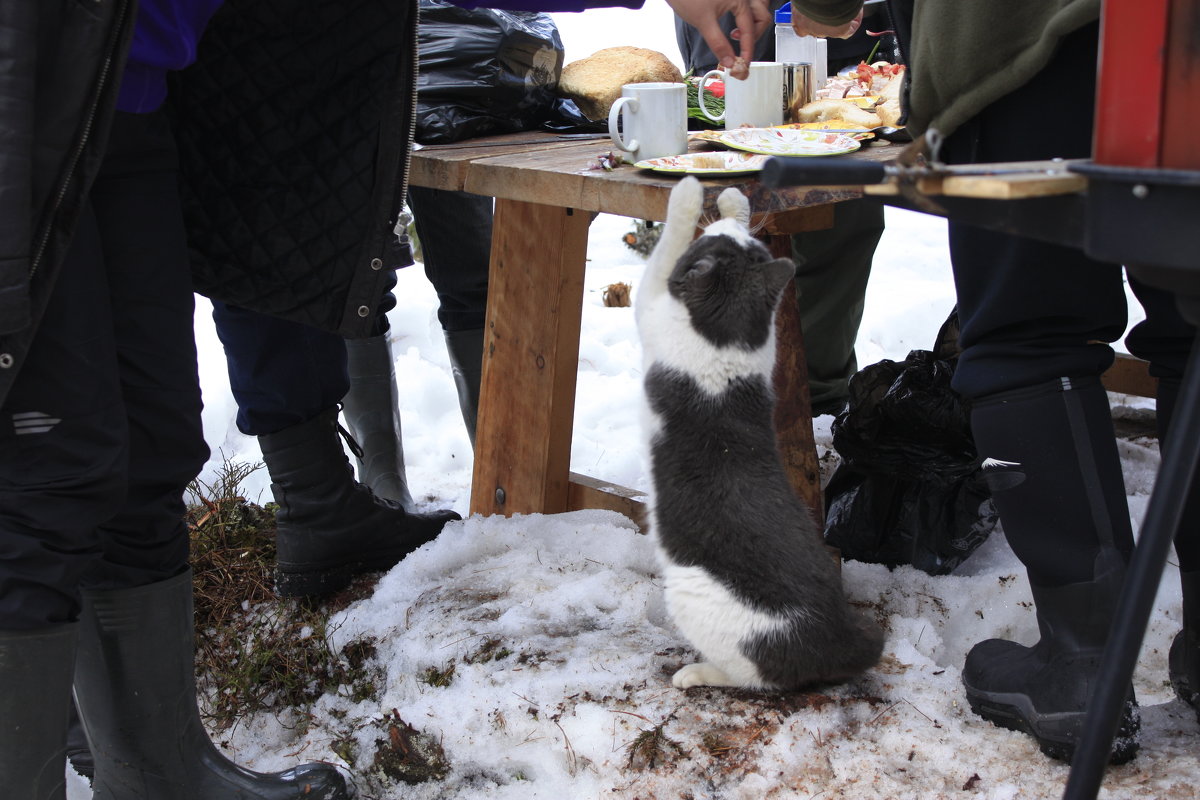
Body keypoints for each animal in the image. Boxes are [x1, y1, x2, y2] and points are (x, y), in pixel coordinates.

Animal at [638, 178, 883, 690]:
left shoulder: (651, 301)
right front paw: (733, 200)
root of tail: (840, 637)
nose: (726, 224)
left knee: (756, 678)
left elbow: (666, 246)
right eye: (745, 247)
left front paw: (689, 192)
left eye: (713, 245)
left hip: (692, 595)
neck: (724, 341)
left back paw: (695, 672)